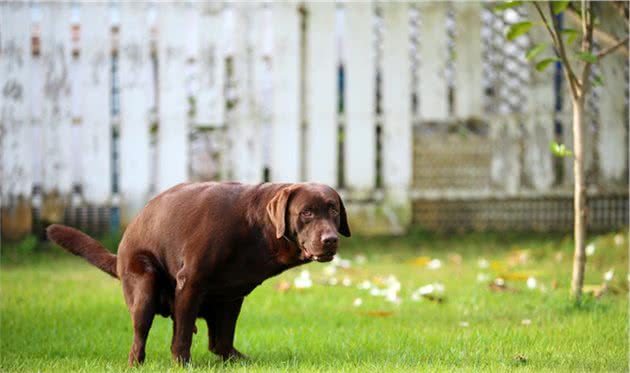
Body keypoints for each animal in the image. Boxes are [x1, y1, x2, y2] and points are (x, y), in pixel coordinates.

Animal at [45, 182, 350, 364]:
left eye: (333, 209)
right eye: (306, 213)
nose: (330, 240)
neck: (255, 229)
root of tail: (119, 253)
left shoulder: (232, 296)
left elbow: (222, 338)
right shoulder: (190, 283)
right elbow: (181, 338)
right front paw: (182, 364)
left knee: (215, 341)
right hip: (143, 285)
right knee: (139, 337)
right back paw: (137, 362)